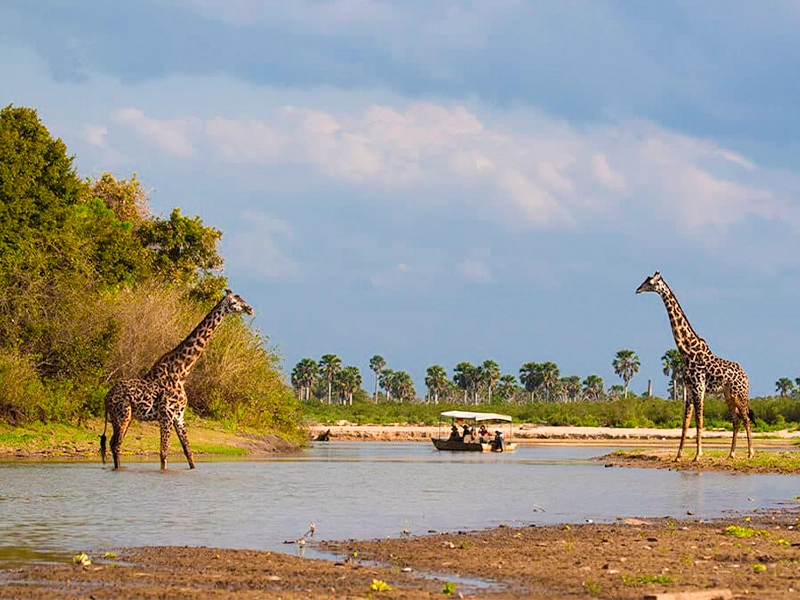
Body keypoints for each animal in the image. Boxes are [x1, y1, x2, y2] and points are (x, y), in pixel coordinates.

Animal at [100, 289, 254, 469]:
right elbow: (164, 453)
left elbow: (189, 453)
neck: (182, 372)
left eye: (242, 299)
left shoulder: (179, 416)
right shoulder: (166, 414)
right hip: (123, 415)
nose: (250, 309)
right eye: (235, 302)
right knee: (116, 445)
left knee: (113, 444)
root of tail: (106, 397)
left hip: (123, 417)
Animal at [636, 271, 754, 461]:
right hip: (728, 394)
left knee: (746, 418)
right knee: (736, 420)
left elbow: (699, 421)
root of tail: (746, 376)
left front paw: (698, 455)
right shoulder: (690, 389)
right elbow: (685, 423)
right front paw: (678, 456)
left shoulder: (699, 388)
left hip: (740, 394)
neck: (686, 350)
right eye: (645, 281)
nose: (638, 289)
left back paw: (750, 453)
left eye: (650, 283)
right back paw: (731, 454)